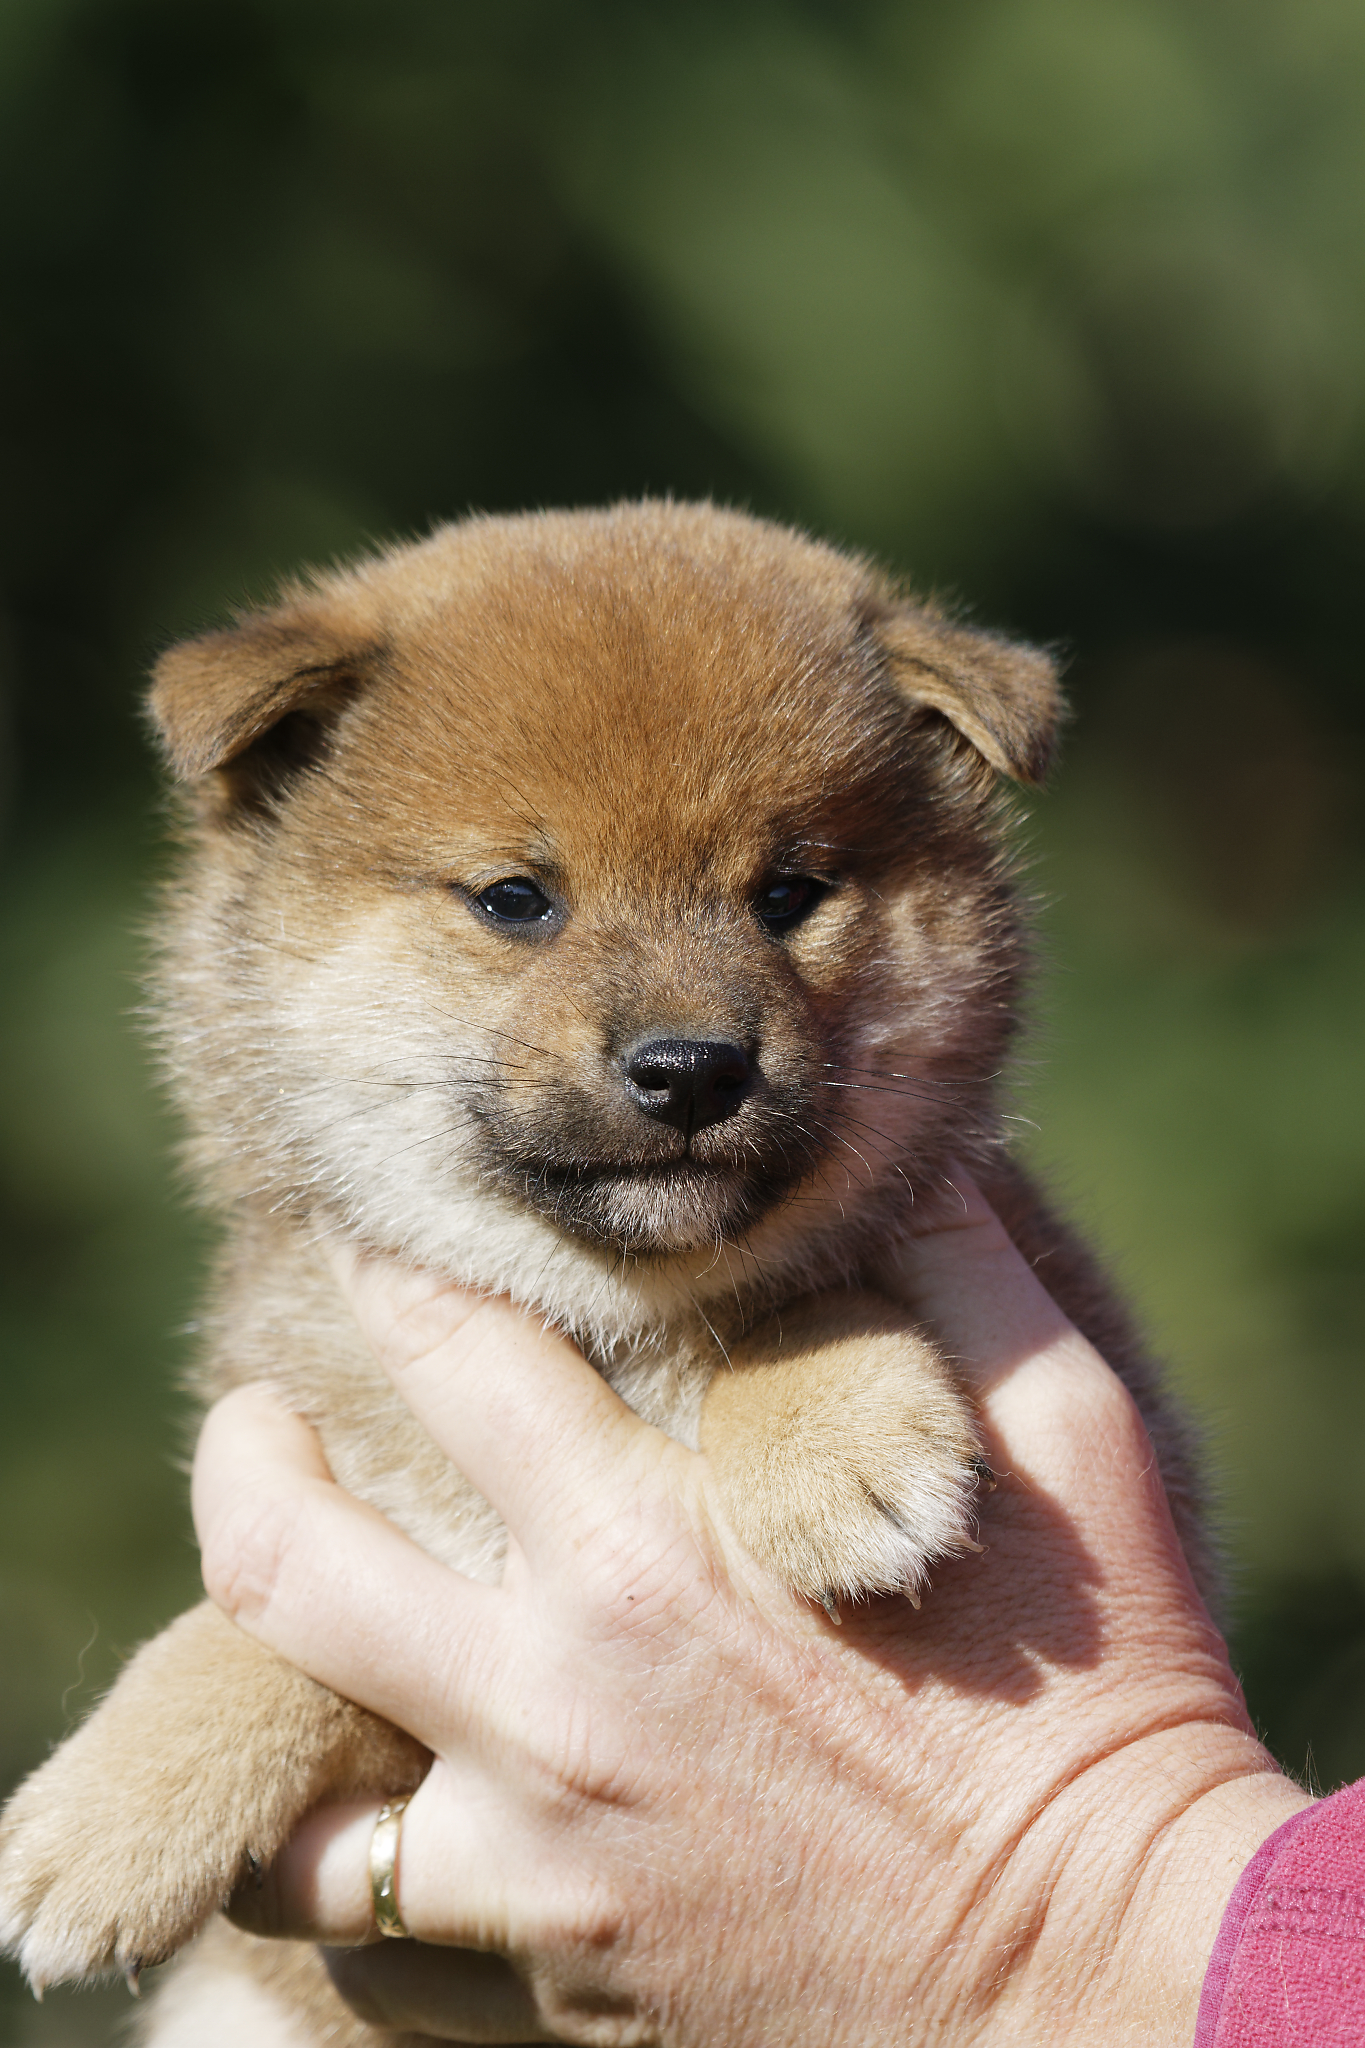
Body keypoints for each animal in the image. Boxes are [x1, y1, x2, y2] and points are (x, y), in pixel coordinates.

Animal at [0, 500, 1209, 2044]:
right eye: (519, 900)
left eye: (789, 894)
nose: (692, 1068)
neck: (615, 1325)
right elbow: (249, 1636)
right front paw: (113, 1806)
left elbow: (812, 1278)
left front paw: (833, 1439)